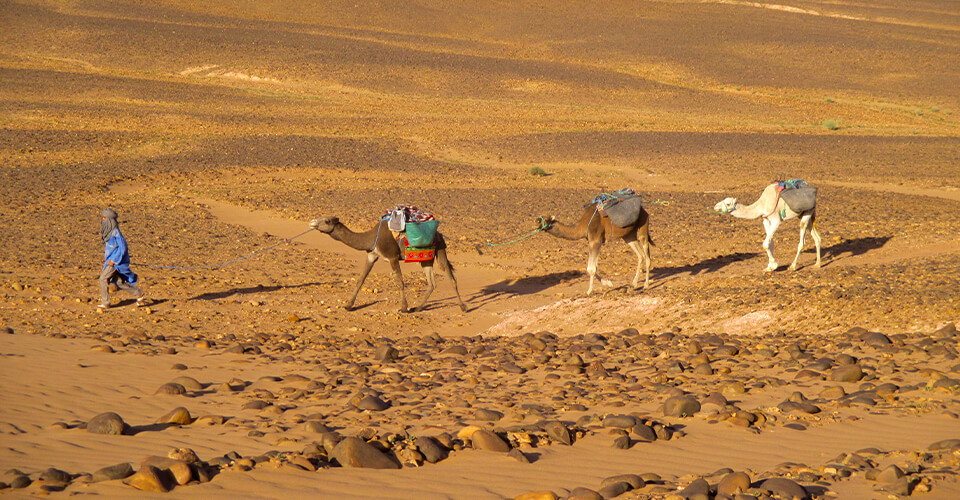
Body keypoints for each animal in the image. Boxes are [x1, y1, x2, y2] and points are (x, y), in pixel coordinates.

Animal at [310, 216, 466, 312]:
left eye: (326, 221)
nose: (312, 222)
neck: (371, 238)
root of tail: (439, 234)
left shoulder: (392, 257)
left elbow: (400, 282)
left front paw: (403, 308)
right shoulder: (372, 255)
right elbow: (360, 280)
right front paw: (348, 305)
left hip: (440, 249)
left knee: (450, 276)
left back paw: (463, 307)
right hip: (426, 258)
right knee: (432, 283)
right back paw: (418, 308)